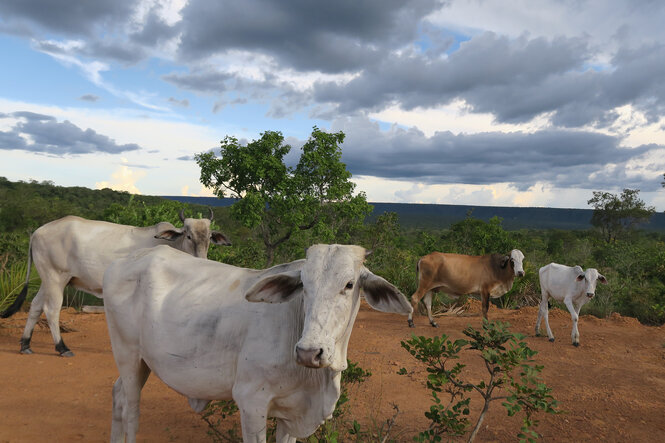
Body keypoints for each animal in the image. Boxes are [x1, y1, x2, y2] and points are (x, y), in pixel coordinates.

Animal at [1, 210, 231, 360]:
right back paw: (61, 347)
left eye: (209, 238)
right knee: (51, 309)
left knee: (35, 306)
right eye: (189, 235)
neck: (172, 244)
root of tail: (37, 232)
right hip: (56, 278)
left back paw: (25, 344)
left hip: (49, 280)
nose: (203, 260)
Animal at [102, 245, 410, 442]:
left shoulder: (290, 415)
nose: (309, 352)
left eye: (348, 284)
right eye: (304, 285)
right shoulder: (251, 403)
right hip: (127, 354)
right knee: (131, 410)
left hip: (142, 362)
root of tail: (120, 263)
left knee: (117, 395)